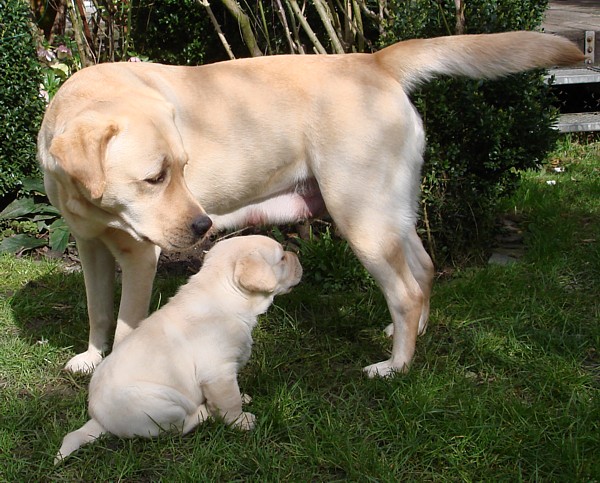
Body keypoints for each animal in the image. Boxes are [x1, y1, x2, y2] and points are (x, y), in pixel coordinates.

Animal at [37, 31, 580, 378]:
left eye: (182, 169)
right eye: (156, 177)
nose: (202, 225)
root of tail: (374, 59)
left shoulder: (139, 255)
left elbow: (127, 322)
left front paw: (116, 367)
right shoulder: (90, 247)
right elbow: (98, 310)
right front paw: (91, 356)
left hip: (361, 217)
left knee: (406, 289)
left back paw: (396, 366)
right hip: (391, 211)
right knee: (424, 270)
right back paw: (410, 336)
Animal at [54, 236, 302, 464]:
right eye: (282, 258)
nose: (298, 257)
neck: (225, 293)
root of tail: (99, 421)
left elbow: (233, 393)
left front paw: (242, 397)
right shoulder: (218, 374)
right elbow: (230, 402)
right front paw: (241, 421)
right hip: (163, 406)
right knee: (179, 427)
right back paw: (204, 413)